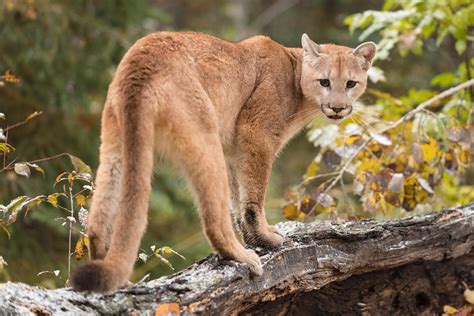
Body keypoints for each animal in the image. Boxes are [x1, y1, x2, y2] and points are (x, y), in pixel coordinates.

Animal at [70, 31, 376, 292]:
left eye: (351, 83)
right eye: (325, 82)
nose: (337, 108)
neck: (294, 74)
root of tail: (141, 59)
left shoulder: (234, 152)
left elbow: (239, 199)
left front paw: (256, 237)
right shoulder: (255, 134)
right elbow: (253, 198)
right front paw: (265, 239)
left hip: (114, 142)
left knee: (97, 222)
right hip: (205, 137)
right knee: (213, 223)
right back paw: (244, 258)